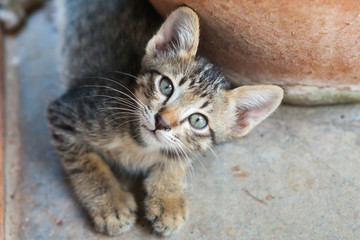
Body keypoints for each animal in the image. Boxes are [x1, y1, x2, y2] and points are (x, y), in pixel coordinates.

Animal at [47, 0, 284, 236]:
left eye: (198, 121)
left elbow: (178, 159)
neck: (140, 145)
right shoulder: (65, 114)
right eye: (166, 86)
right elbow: (86, 165)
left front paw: (167, 199)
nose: (162, 122)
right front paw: (111, 204)